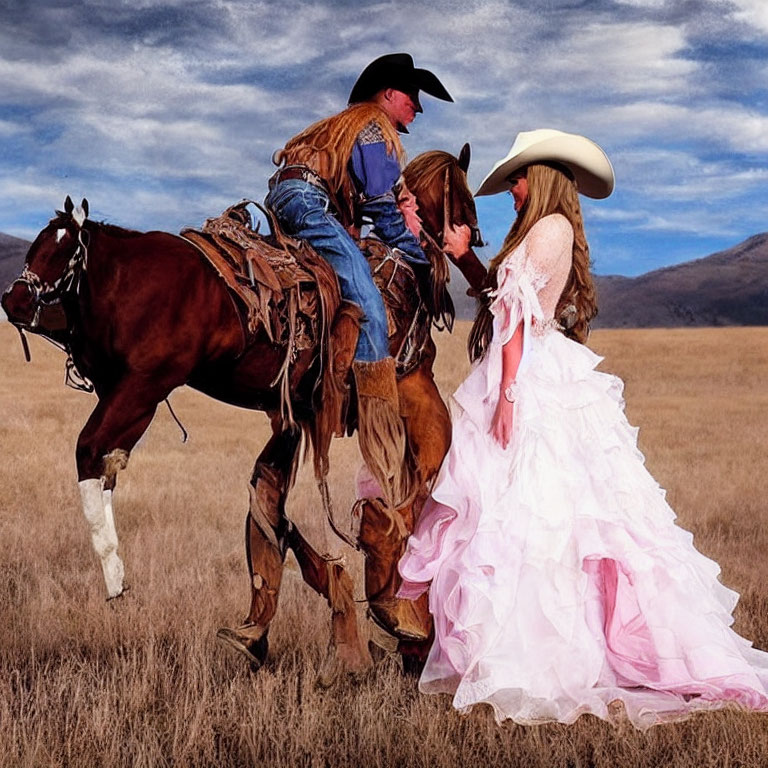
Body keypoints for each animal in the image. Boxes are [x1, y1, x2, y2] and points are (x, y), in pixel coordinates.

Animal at [1, 147, 486, 680]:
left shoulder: (288, 409)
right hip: (143, 389)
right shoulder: (405, 391)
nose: (13, 299)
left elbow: (276, 499)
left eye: (62, 250)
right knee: (95, 454)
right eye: (466, 194)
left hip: (141, 390)